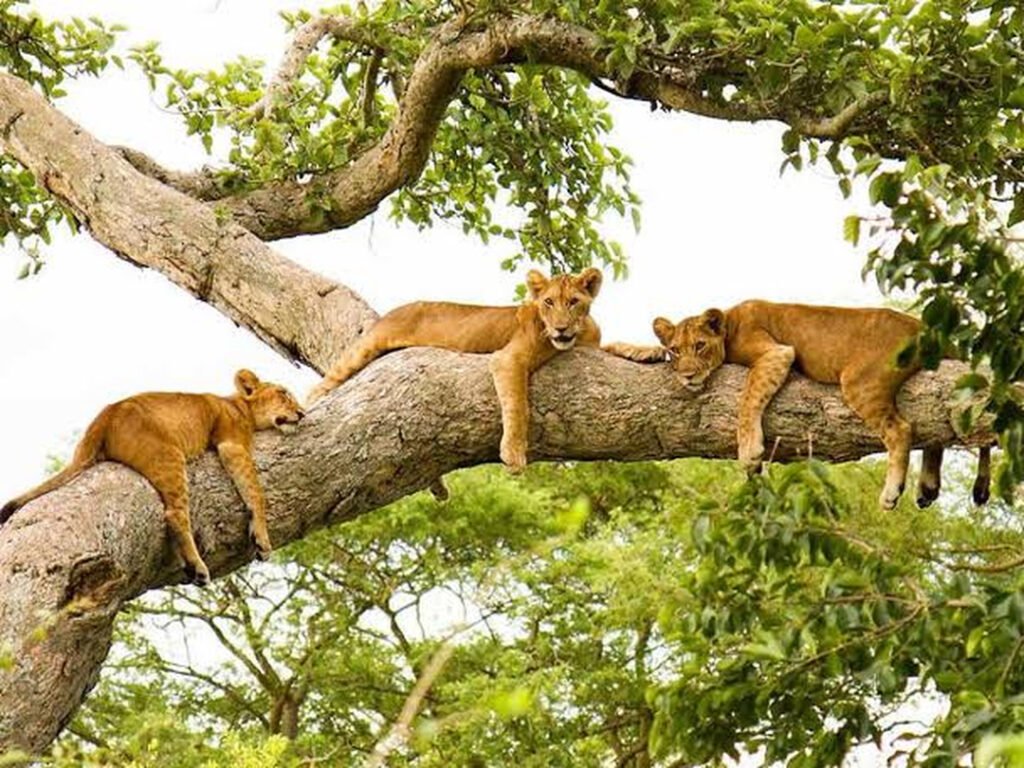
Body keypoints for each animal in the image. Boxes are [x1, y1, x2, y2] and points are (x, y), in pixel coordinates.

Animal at [0, 370, 305, 585]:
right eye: (283, 393)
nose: (301, 413)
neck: (239, 405)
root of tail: (105, 416)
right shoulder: (232, 444)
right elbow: (256, 493)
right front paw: (262, 540)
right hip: (169, 455)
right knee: (175, 514)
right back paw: (197, 567)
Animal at [306, 268, 603, 472]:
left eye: (573, 302)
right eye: (549, 302)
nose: (561, 328)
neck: (579, 333)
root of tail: (395, 310)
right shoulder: (508, 358)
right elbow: (518, 406)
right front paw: (514, 453)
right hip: (366, 347)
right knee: (323, 384)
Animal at [605, 300, 991, 510]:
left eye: (699, 346)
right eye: (675, 350)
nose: (686, 376)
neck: (728, 321)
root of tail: (925, 326)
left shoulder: (776, 352)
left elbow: (748, 400)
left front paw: (749, 452)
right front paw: (621, 348)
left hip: (860, 381)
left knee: (902, 430)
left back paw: (892, 492)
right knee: (935, 431)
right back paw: (928, 487)